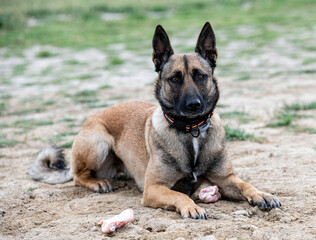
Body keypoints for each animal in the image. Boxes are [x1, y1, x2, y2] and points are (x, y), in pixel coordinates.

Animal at [30, 21, 280, 218]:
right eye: (175, 79)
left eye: (201, 76)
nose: (193, 105)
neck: (191, 131)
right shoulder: (154, 188)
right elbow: (179, 194)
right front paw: (191, 207)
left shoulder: (226, 178)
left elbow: (245, 184)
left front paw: (261, 194)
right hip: (98, 143)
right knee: (78, 176)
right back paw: (97, 183)